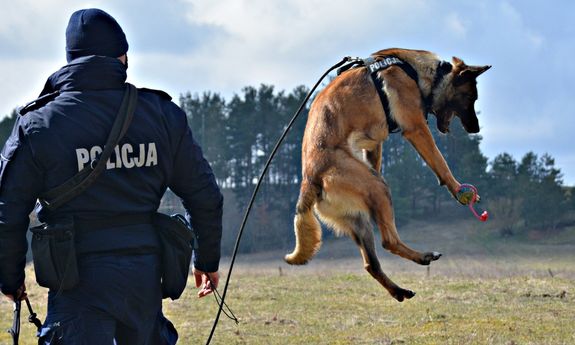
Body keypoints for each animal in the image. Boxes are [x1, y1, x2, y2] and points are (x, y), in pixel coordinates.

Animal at [284, 48, 490, 300]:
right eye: (470, 98)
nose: (476, 128)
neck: (419, 72)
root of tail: (310, 180)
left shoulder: (375, 143)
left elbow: (376, 157)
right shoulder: (416, 128)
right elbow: (441, 163)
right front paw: (459, 190)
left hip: (359, 218)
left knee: (371, 263)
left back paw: (400, 289)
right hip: (377, 189)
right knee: (388, 241)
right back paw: (423, 257)